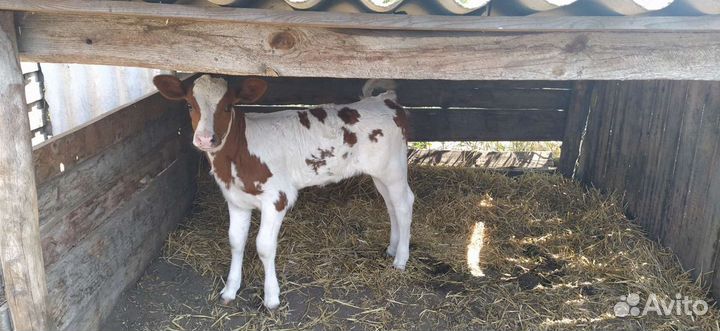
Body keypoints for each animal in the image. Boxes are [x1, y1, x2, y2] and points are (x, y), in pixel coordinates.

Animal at [153, 75, 410, 312]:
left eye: (227, 106)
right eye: (189, 105)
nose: (206, 139)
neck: (238, 155)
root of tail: (384, 100)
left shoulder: (277, 198)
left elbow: (264, 246)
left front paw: (271, 297)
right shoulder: (235, 200)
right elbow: (236, 241)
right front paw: (230, 289)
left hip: (394, 168)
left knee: (405, 205)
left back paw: (401, 259)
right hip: (380, 174)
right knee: (391, 206)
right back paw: (392, 248)